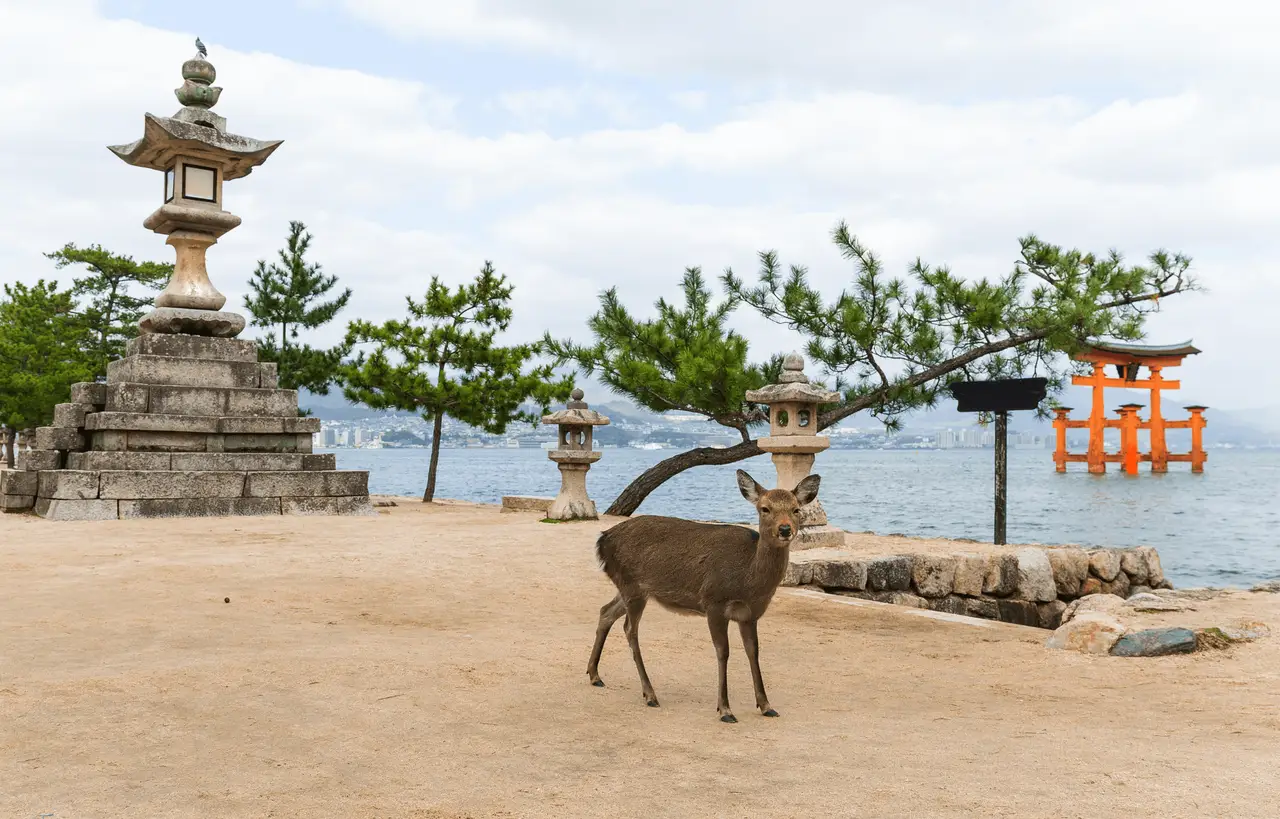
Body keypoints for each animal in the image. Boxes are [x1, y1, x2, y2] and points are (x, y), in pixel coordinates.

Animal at [586, 469, 821, 723]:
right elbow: (723, 651)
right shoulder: (713, 603)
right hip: (632, 586)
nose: (785, 529)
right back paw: (650, 694)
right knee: (630, 629)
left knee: (605, 611)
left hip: (632, 588)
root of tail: (602, 540)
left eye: (796, 509)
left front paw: (766, 705)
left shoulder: (750, 614)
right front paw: (725, 709)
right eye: (764, 508)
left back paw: (594, 675)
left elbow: (753, 651)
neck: (748, 582)